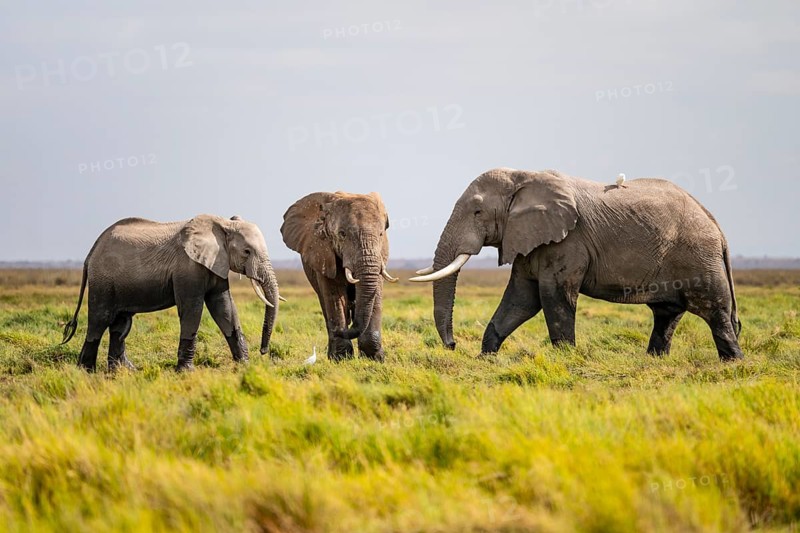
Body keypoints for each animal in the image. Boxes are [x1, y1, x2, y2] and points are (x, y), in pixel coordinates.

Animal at [61, 214, 280, 371]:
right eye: (247, 252)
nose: (264, 351)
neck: (223, 224)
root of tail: (91, 253)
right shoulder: (188, 268)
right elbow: (192, 309)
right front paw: (186, 372)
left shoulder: (217, 263)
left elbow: (224, 308)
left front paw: (245, 366)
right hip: (103, 282)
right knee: (99, 321)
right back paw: (87, 371)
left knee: (121, 324)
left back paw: (124, 371)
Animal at [281, 191, 397, 362]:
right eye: (342, 234)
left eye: (381, 233)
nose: (340, 331)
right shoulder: (323, 252)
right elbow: (335, 296)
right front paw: (341, 358)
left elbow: (376, 295)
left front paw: (374, 358)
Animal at [411, 168, 744, 361]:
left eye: (478, 212)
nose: (452, 346)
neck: (524, 175)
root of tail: (717, 226)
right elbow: (521, 299)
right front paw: (486, 359)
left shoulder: (568, 241)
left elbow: (553, 296)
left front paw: (565, 361)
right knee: (667, 314)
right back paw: (654, 362)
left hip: (699, 257)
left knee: (716, 313)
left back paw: (732, 364)